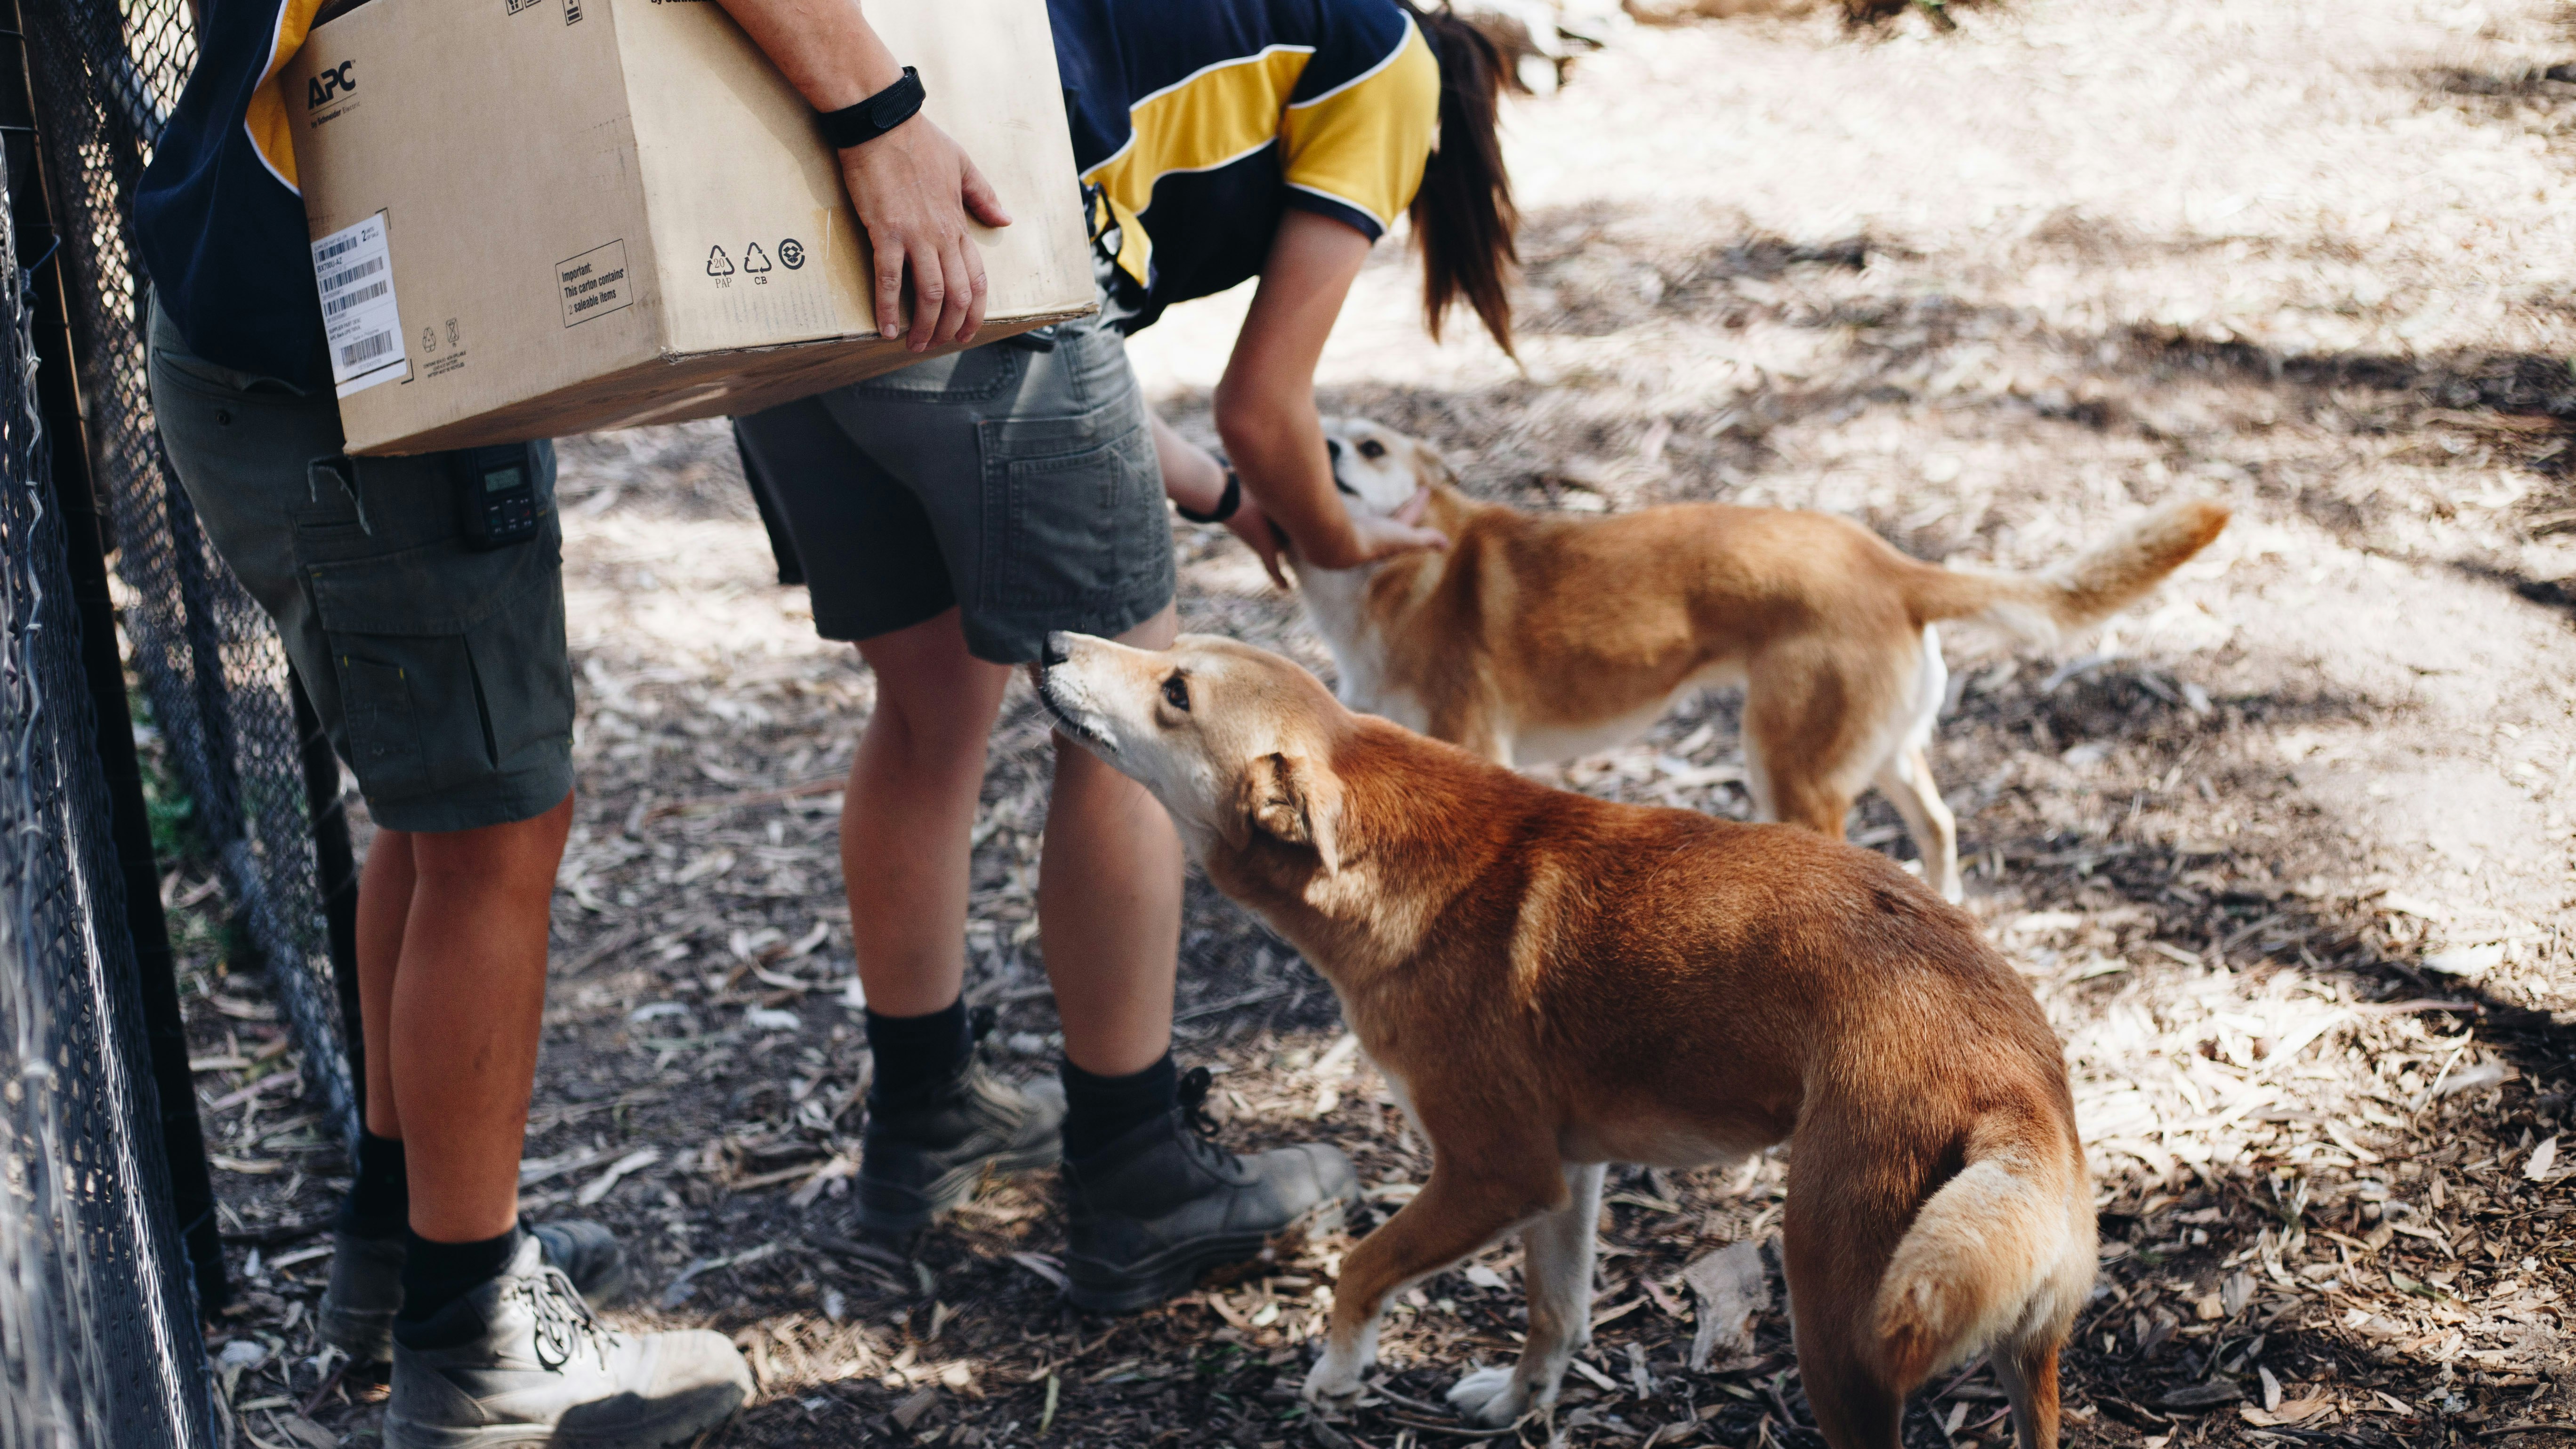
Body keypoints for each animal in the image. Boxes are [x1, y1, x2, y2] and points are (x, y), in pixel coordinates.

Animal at [1025, 629, 2092, 1444]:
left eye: (1175, 690)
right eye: (1171, 649)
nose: (1049, 642)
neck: (1392, 868)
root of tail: (2010, 1063)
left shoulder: (1492, 1173)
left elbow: (1360, 1263)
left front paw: (1337, 1371)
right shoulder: (1568, 1176)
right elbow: (1556, 1315)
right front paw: (1516, 1405)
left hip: (1834, 1310)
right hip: (2020, 1341)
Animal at [1298, 412, 2225, 897]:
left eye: (1370, 445)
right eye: (1327, 429)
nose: (1320, 448)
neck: (1396, 572)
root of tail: (1890, 563)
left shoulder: (1476, 746)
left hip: (1788, 768)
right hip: (1882, 750)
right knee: (1940, 824)